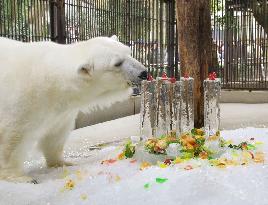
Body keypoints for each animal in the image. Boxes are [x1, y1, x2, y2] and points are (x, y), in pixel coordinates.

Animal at [0, 35, 147, 183]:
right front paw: (20, 177)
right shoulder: (21, 101)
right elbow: (12, 137)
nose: (144, 73)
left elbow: (56, 134)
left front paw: (62, 163)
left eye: (129, 52)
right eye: (117, 63)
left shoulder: (60, 111)